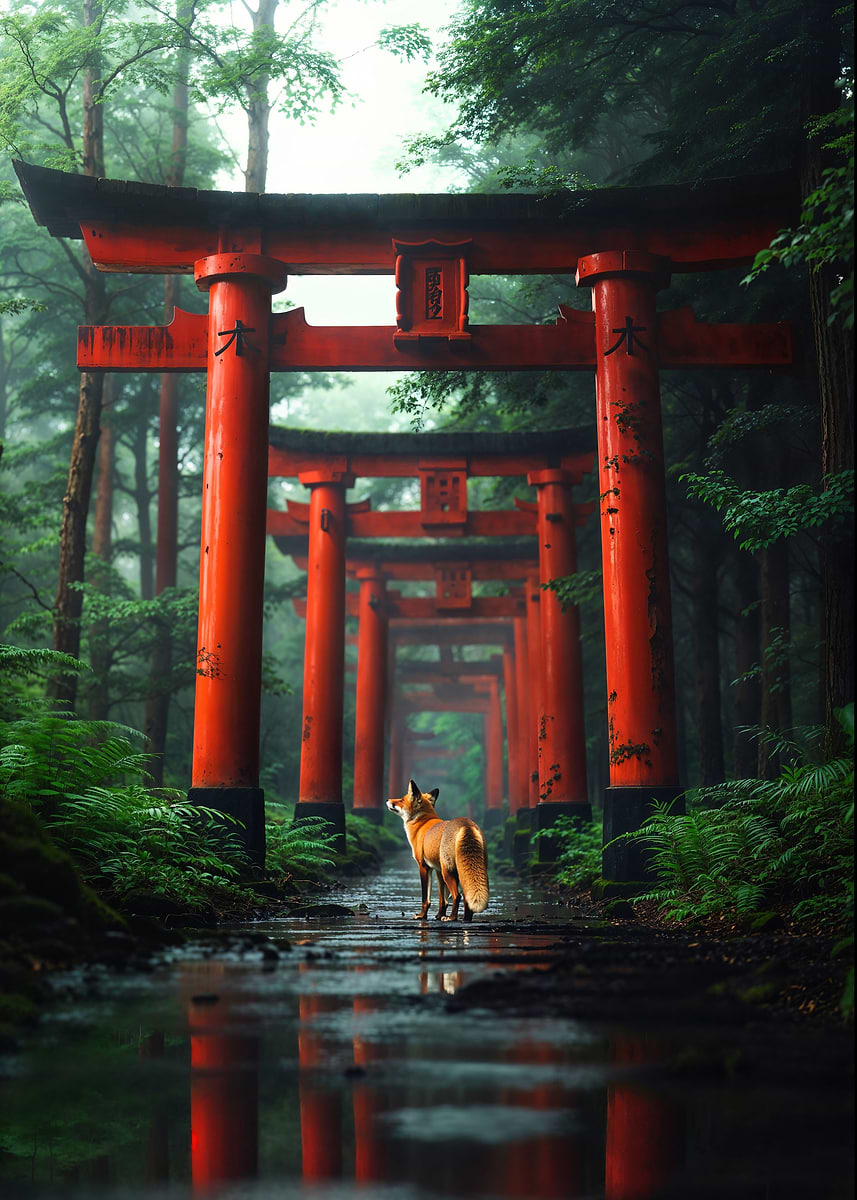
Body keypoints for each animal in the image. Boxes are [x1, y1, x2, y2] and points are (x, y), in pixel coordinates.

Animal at [387, 779, 490, 923]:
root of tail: (465, 823)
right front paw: (439, 915)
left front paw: (422, 916)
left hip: (449, 872)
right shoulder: (438, 870)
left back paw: (452, 918)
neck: (422, 824)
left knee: (457, 895)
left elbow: (426, 898)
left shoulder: (424, 867)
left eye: (401, 799)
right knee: (466, 897)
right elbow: (443, 899)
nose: (387, 799)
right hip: (464, 871)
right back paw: (465, 919)